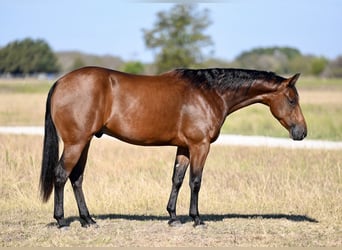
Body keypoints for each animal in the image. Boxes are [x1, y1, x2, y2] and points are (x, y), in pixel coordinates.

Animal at [40, 66, 308, 229]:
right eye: (291, 100)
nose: (302, 132)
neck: (209, 93)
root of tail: (60, 81)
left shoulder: (184, 148)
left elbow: (177, 179)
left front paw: (173, 217)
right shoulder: (200, 146)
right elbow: (195, 181)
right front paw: (196, 218)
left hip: (84, 143)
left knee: (76, 178)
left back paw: (88, 220)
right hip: (76, 143)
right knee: (61, 175)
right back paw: (61, 221)